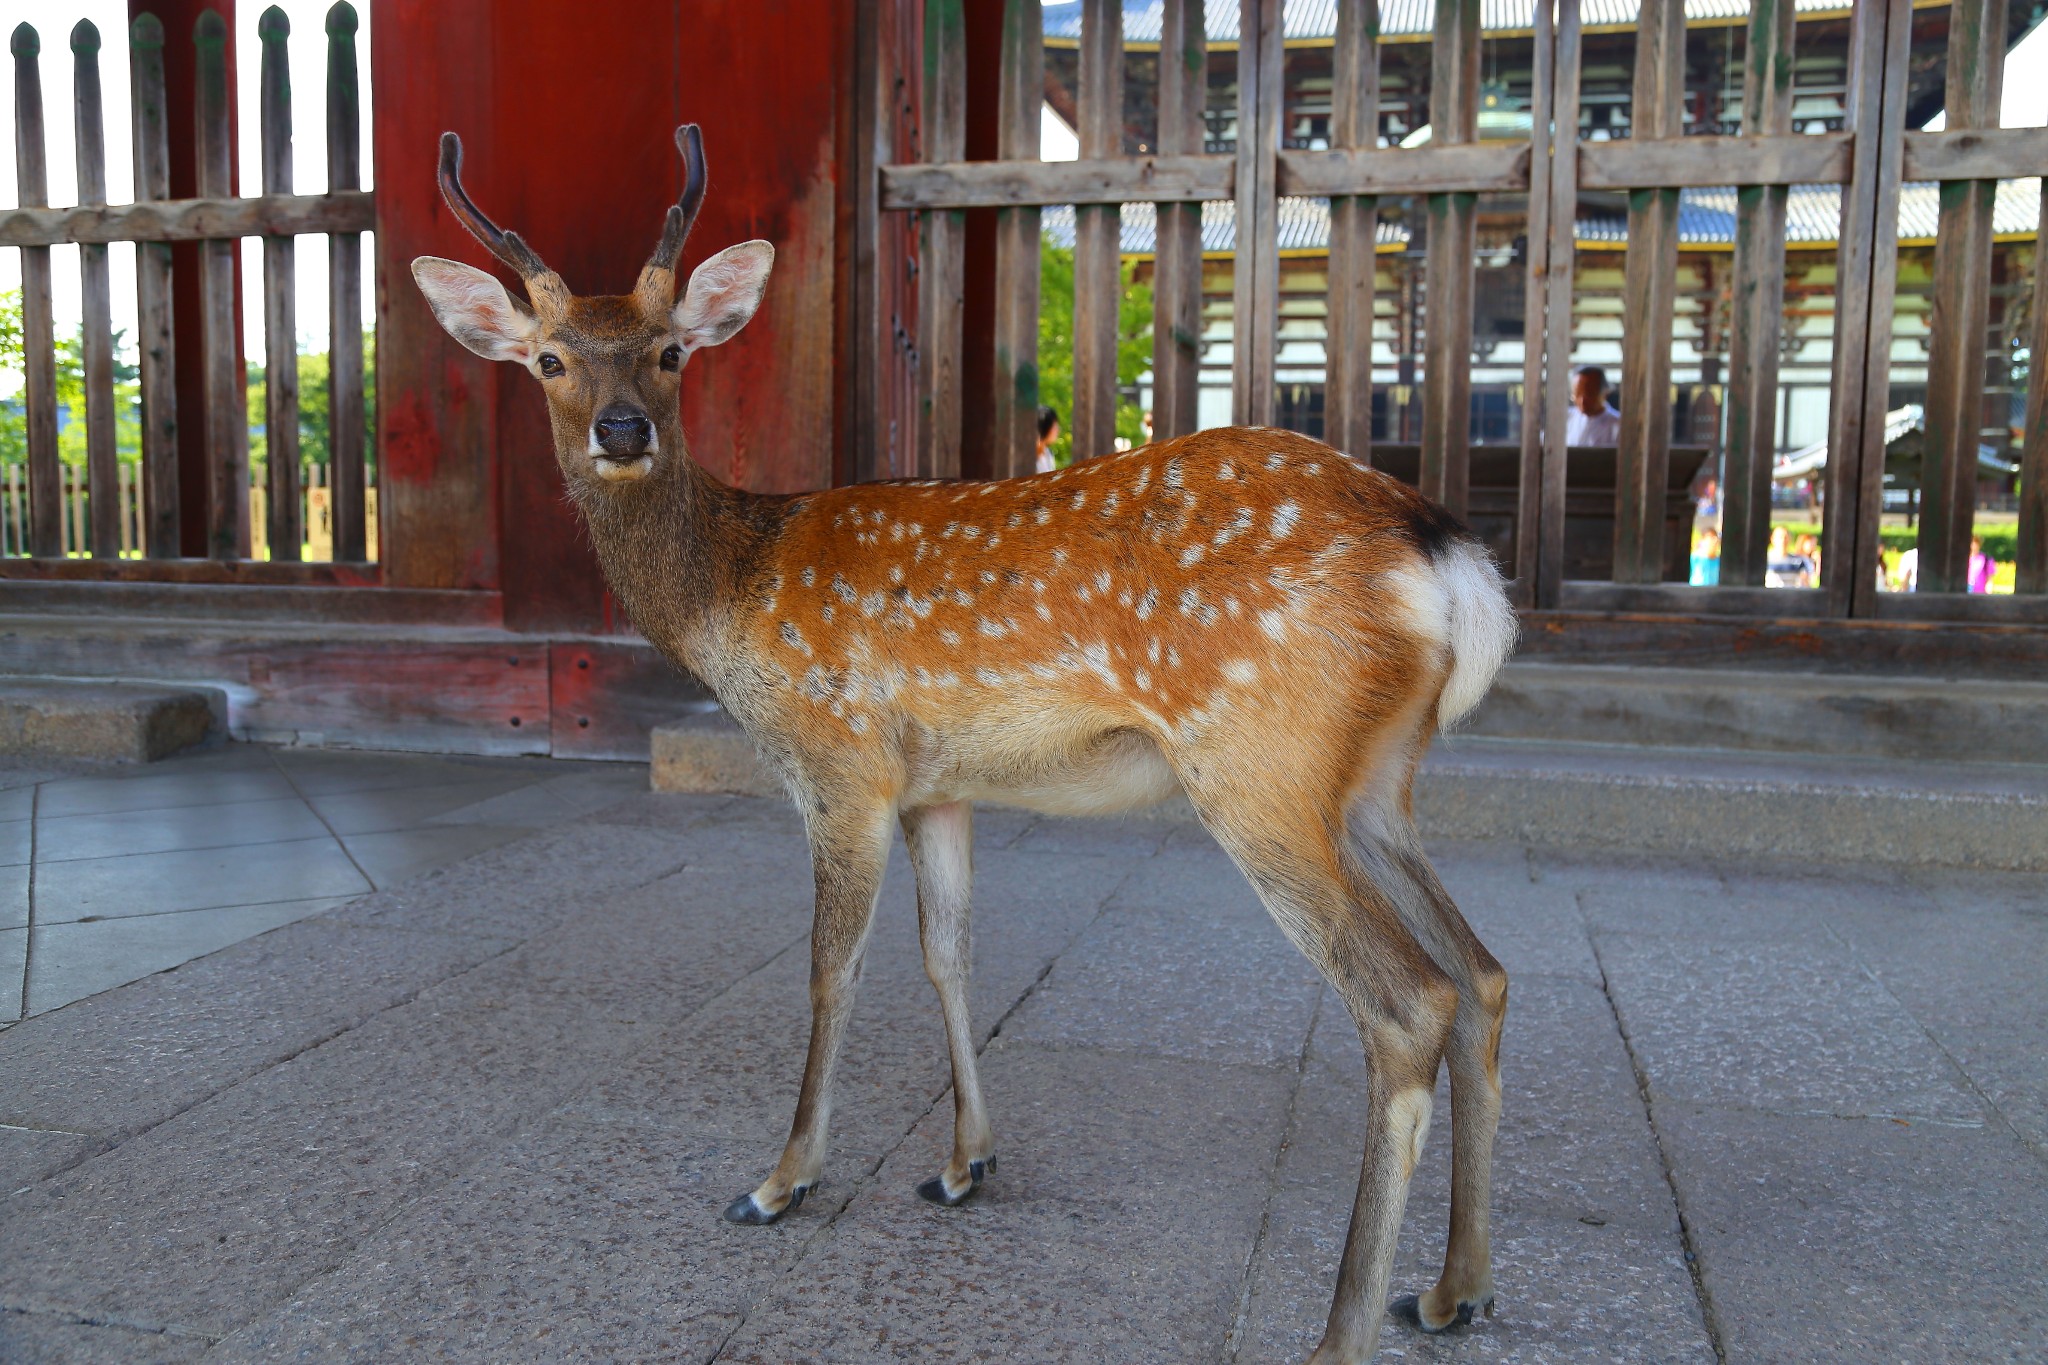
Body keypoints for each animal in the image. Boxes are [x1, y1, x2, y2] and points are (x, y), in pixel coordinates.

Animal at [411, 125, 1523, 1365]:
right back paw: (1453, 1288)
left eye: (668, 352)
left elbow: (830, 966)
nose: (621, 430)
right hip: (1373, 783)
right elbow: (948, 952)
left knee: (1406, 1000)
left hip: (1256, 766)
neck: (729, 600)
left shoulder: (839, 761)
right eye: (550, 360)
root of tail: (1442, 558)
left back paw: (1340, 1332)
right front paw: (961, 1166)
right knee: (1480, 973)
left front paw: (780, 1180)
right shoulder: (934, 785)